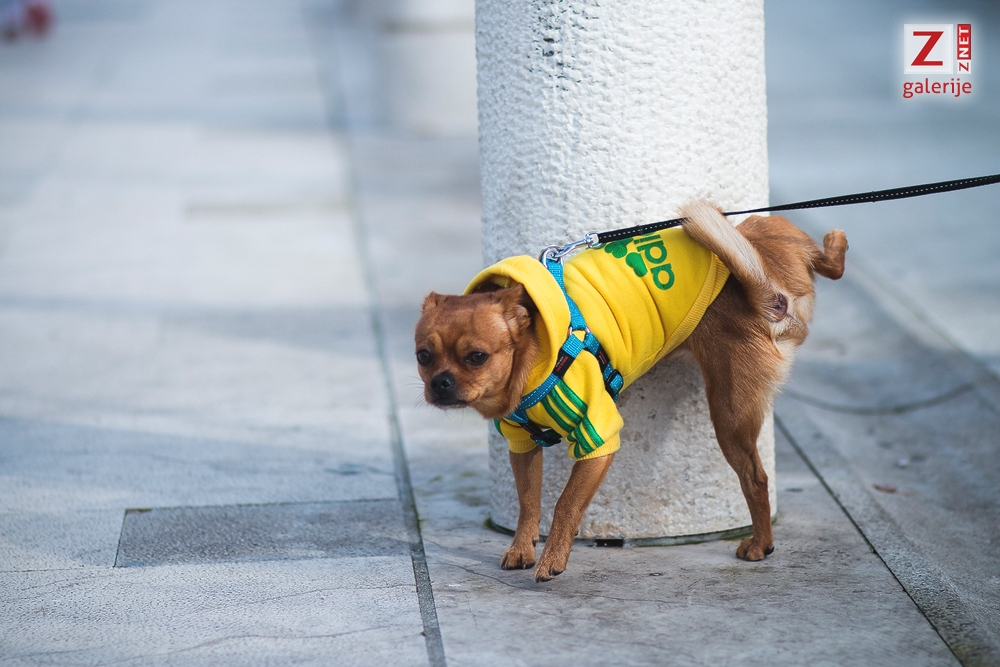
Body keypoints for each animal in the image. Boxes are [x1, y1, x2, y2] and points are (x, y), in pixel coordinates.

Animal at [414, 201, 847, 582]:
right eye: (423, 356)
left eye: (477, 357)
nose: (440, 383)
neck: (536, 352)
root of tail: (770, 295)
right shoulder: (522, 444)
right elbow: (528, 500)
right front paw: (522, 548)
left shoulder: (597, 439)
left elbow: (565, 504)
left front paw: (552, 559)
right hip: (765, 228)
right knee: (830, 264)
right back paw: (836, 242)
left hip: (730, 415)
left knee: (755, 477)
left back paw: (759, 545)